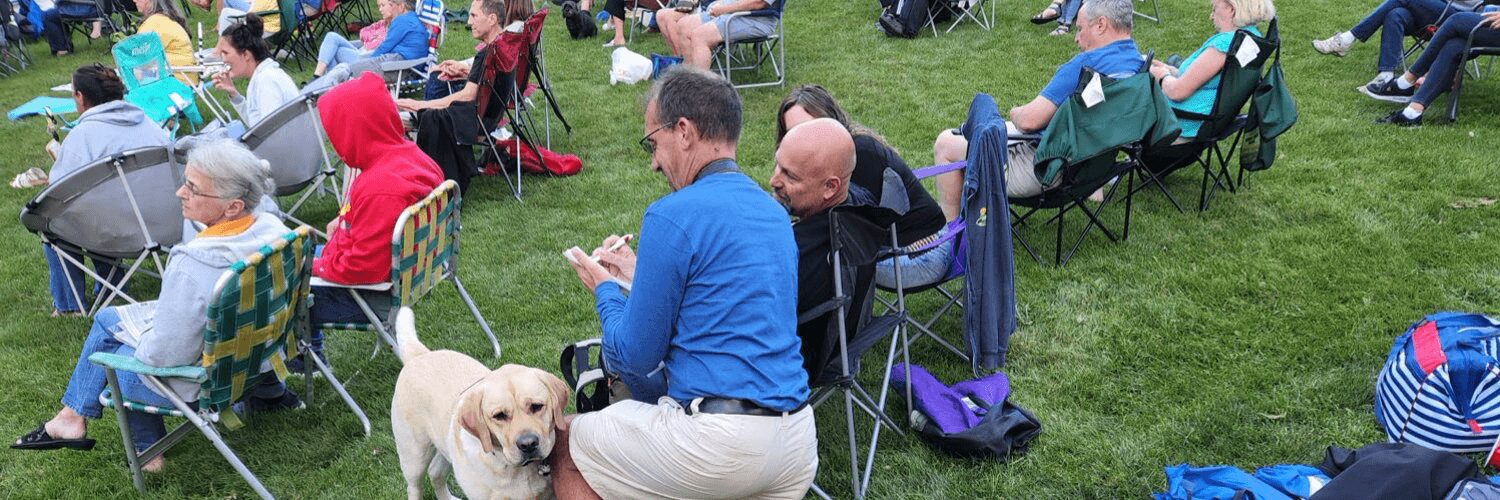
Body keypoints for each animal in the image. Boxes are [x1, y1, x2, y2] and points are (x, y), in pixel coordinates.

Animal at [391, 308, 570, 500]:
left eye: (536, 406)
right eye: (499, 415)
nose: (528, 444)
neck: (510, 468)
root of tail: (419, 355)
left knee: (435, 472)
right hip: (414, 456)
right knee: (414, 486)